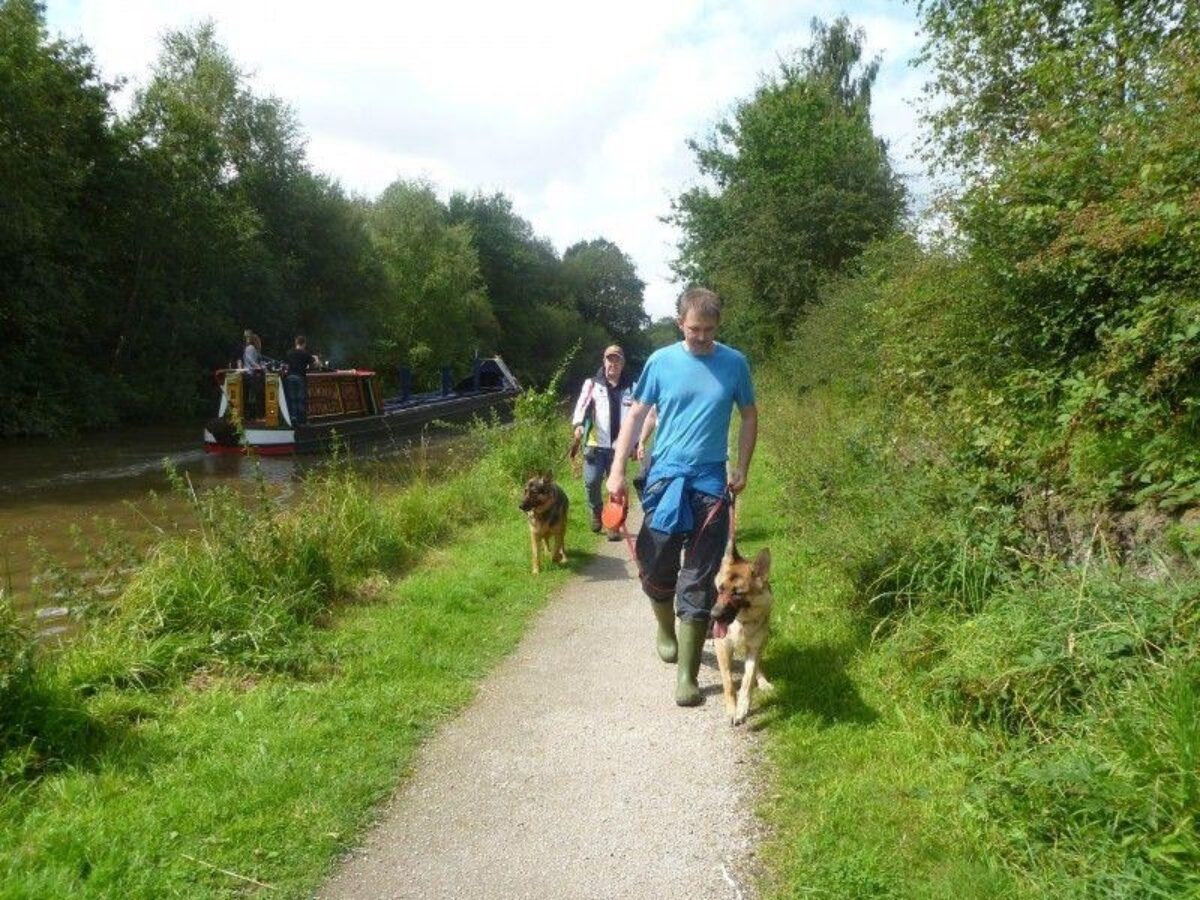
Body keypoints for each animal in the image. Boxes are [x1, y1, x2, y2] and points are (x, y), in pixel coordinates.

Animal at [705, 547, 772, 729]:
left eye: (737, 593)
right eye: (721, 589)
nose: (714, 615)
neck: (742, 621)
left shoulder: (754, 648)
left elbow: (747, 681)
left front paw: (742, 709)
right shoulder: (723, 647)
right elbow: (728, 683)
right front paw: (732, 710)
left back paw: (763, 681)